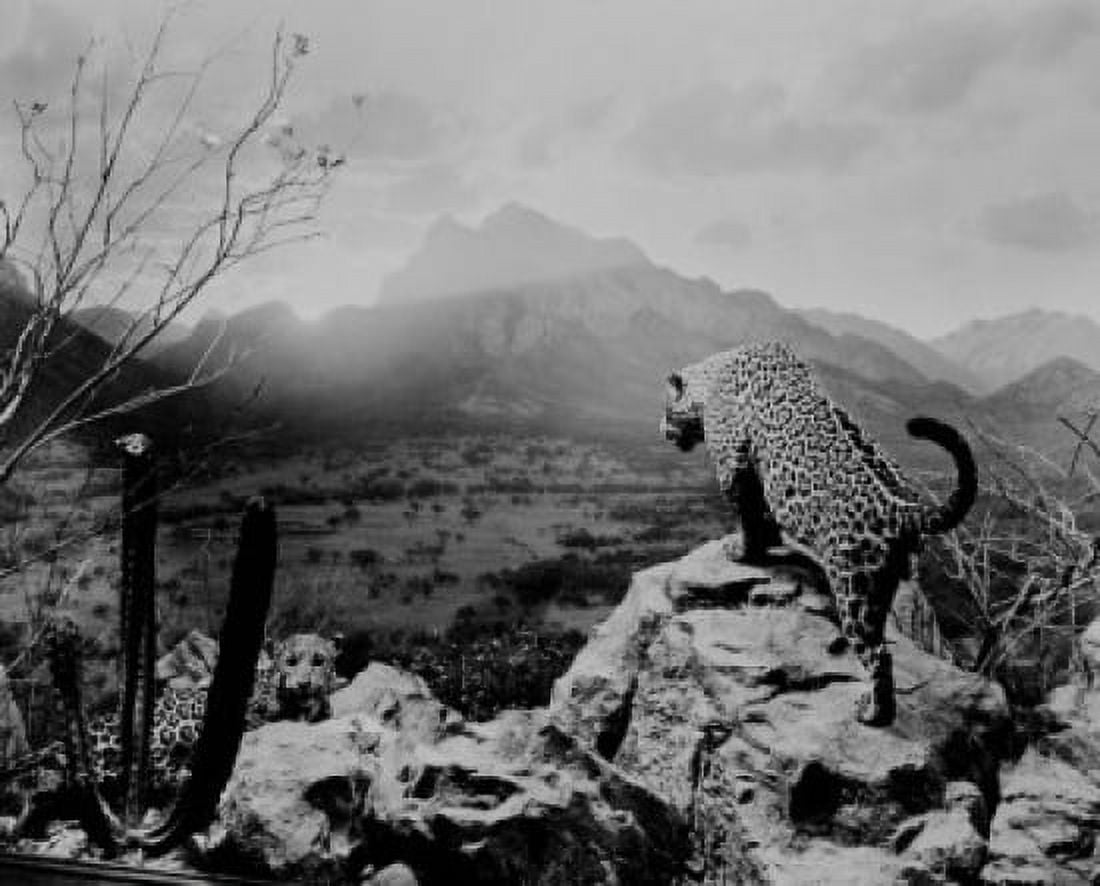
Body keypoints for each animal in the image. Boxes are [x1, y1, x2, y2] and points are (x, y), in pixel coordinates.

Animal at [661, 341, 977, 726]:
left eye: (667, 409)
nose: (661, 429)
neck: (711, 379)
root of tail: (903, 510)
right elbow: (765, 517)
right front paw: (769, 542)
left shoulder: (734, 467)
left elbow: (749, 517)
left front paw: (742, 552)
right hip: (883, 583)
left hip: (854, 588)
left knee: (877, 655)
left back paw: (872, 713)